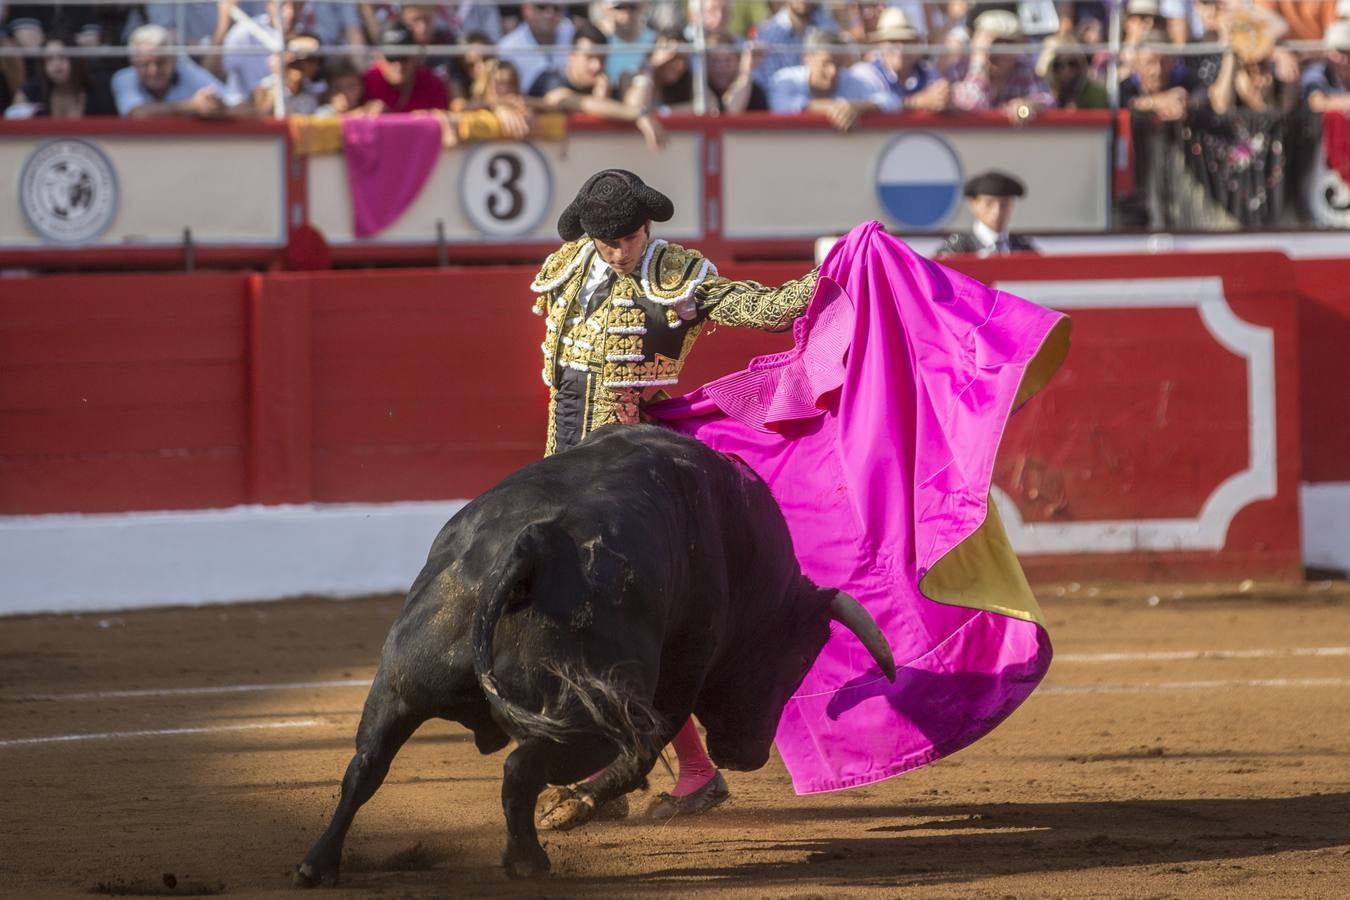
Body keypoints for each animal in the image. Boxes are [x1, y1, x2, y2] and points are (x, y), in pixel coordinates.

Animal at [292, 426, 896, 885]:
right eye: (795, 661)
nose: (748, 755)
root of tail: (530, 544)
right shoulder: (681, 672)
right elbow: (644, 751)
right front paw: (573, 807)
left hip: (397, 686)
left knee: (365, 767)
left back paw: (317, 865)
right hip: (586, 715)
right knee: (528, 767)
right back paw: (530, 858)